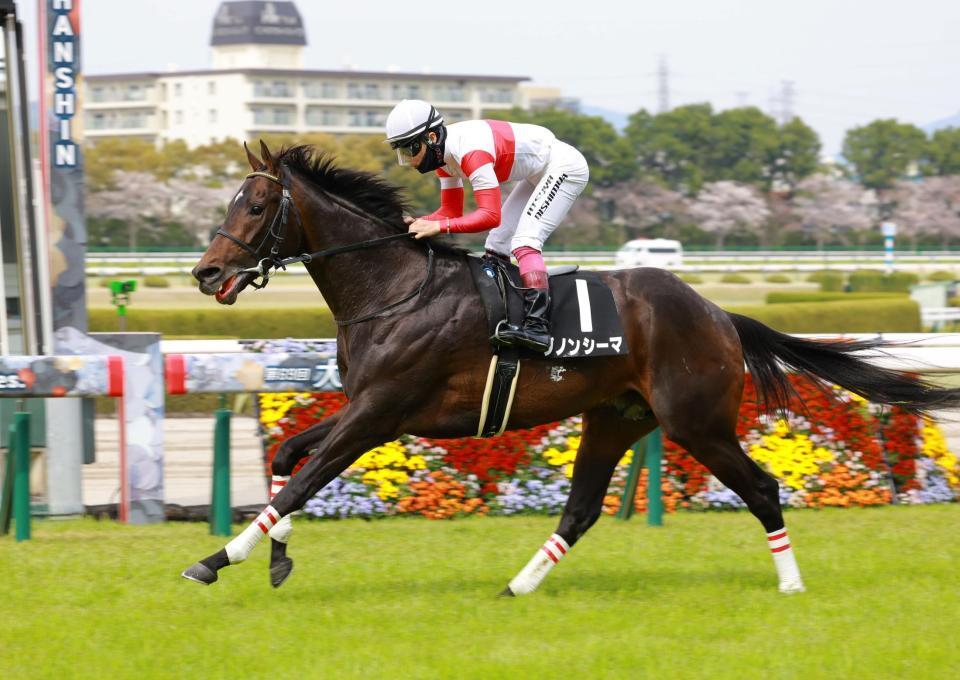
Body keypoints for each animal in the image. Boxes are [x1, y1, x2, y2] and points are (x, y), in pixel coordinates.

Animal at [182, 140, 960, 595]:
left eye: (256, 204)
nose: (205, 272)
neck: (394, 290)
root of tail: (717, 313)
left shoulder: (380, 414)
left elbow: (302, 481)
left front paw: (219, 559)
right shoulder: (365, 407)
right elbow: (287, 456)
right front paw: (277, 558)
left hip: (697, 422)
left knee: (764, 489)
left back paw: (791, 584)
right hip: (616, 417)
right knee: (582, 507)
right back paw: (517, 587)